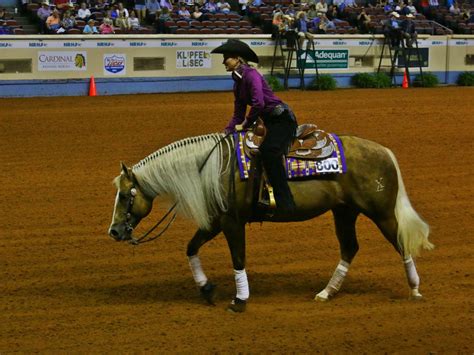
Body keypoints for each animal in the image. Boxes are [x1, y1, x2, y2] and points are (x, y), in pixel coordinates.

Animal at [107, 133, 434, 312]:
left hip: (381, 213)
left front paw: (239, 300)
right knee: (350, 248)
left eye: (125, 195)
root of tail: (384, 152)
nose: (114, 231)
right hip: (344, 212)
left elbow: (238, 259)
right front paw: (207, 289)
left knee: (402, 243)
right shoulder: (215, 221)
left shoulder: (232, 223)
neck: (214, 167)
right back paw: (326, 293)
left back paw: (415, 290)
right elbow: (191, 249)